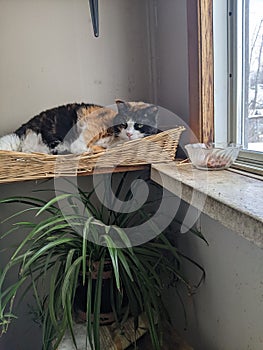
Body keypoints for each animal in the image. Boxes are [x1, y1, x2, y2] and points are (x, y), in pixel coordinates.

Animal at [0, 100, 159, 154]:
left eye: (139, 124)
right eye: (124, 123)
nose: (129, 134)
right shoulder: (92, 125)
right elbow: (81, 144)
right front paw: (86, 150)